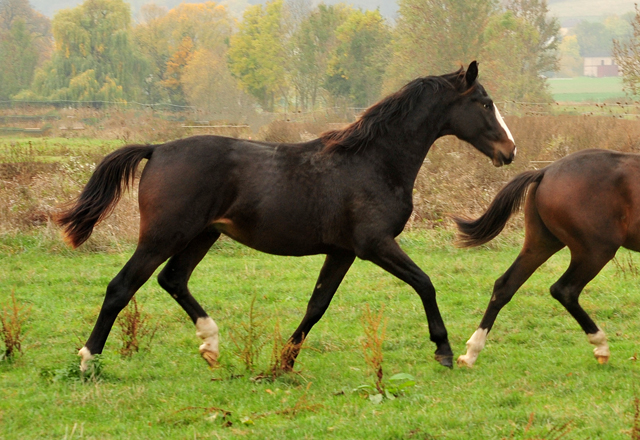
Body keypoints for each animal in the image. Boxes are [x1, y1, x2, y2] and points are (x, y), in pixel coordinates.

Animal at [55, 61, 516, 372]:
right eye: (485, 103)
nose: (509, 151)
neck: (373, 161)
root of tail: (157, 149)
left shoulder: (343, 251)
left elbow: (317, 305)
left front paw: (283, 362)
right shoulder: (375, 245)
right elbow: (425, 283)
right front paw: (444, 350)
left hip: (202, 235)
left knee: (173, 279)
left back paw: (211, 344)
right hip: (163, 236)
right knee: (121, 287)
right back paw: (88, 361)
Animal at [452, 150, 640, 366]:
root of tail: (546, 171)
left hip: (541, 244)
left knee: (505, 286)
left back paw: (471, 353)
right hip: (596, 250)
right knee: (564, 290)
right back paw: (601, 344)